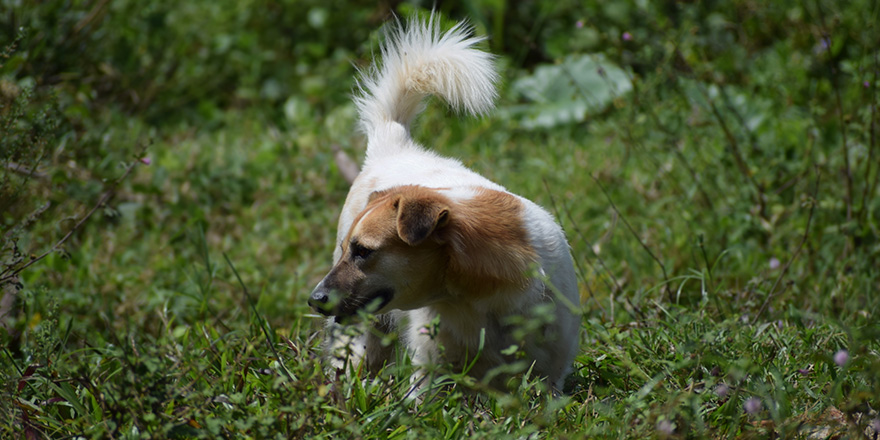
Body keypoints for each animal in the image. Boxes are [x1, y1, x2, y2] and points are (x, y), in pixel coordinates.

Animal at [306, 15, 580, 390]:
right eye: (350, 248)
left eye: (363, 251)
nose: (314, 299)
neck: (477, 297)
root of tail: (394, 144)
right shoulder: (429, 370)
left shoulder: (551, 374)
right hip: (363, 333)